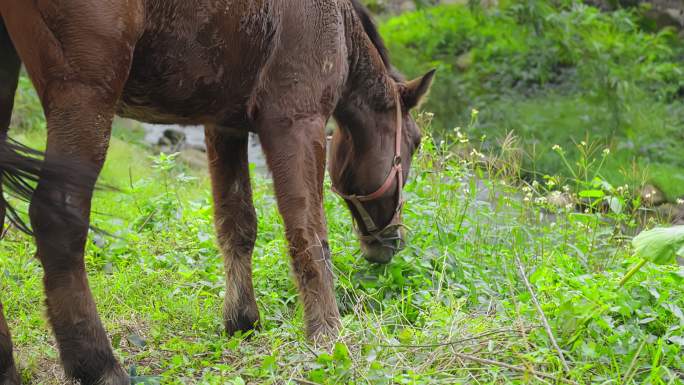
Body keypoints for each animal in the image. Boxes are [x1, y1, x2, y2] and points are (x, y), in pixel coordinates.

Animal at [1, 0, 432, 380]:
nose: (391, 242)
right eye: (415, 142)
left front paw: (242, 321)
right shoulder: (297, 122)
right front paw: (327, 336)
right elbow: (309, 236)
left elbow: (237, 224)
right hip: (85, 96)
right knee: (58, 217)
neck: (334, 21)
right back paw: (97, 363)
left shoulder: (225, 127)